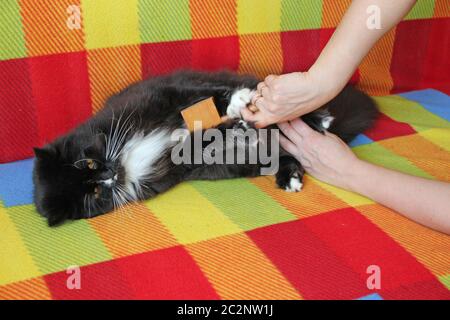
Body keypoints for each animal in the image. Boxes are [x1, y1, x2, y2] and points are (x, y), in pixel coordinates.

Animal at [31, 70, 378, 225]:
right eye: (93, 193)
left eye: (87, 163)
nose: (109, 175)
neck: (125, 157)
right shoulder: (174, 161)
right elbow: (203, 137)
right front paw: (233, 127)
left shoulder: (165, 95)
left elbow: (210, 96)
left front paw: (237, 104)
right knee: (285, 153)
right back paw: (288, 177)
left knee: (292, 116)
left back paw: (319, 119)